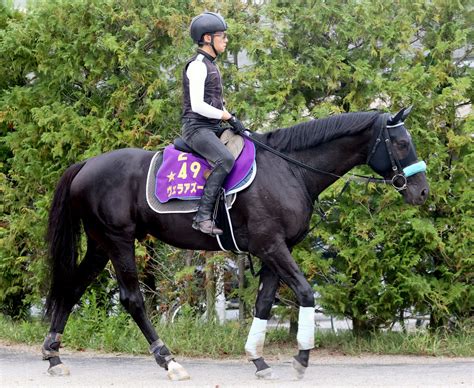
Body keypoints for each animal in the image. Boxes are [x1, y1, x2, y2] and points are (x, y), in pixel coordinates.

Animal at [43, 107, 430, 380]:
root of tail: (86, 164)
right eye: (401, 143)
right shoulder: (272, 246)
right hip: (118, 241)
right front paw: (301, 358)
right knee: (132, 299)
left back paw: (54, 355)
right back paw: (168, 361)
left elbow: (263, 304)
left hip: (100, 244)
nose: (422, 191)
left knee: (72, 287)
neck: (289, 170)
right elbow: (306, 293)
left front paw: (259, 360)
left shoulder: (275, 249)